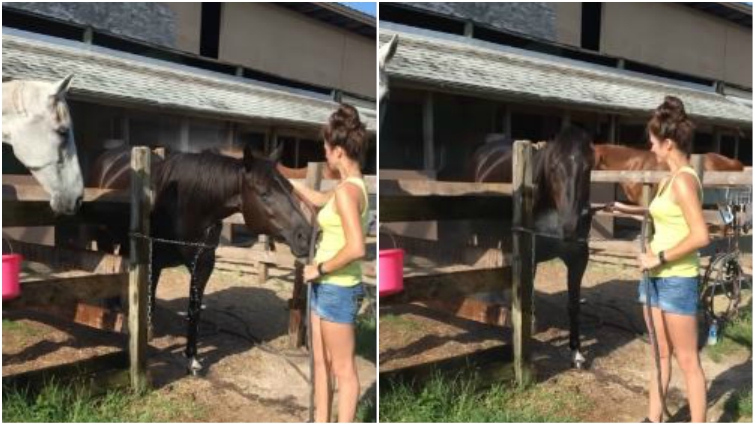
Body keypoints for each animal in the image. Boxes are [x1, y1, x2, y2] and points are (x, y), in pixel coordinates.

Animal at [88, 144, 314, 374]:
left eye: (291, 188)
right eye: (264, 193)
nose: (306, 237)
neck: (181, 207)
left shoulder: (202, 266)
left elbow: (193, 309)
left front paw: (192, 358)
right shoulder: (151, 260)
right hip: (104, 237)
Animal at [472, 126, 595, 368]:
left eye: (587, 167)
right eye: (554, 166)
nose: (570, 226)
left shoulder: (578, 258)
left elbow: (573, 305)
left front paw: (576, 352)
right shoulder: (530, 252)